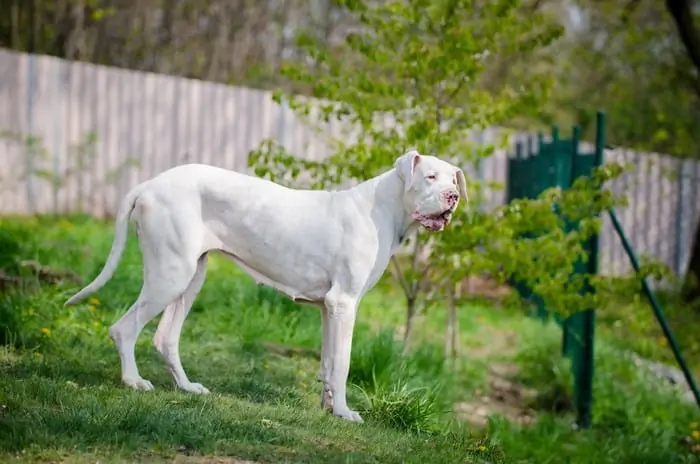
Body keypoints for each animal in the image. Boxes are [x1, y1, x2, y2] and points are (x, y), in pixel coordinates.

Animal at [65, 150, 468, 422]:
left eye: (452, 180)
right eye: (430, 177)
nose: (453, 198)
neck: (385, 208)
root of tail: (150, 183)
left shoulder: (329, 309)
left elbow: (328, 362)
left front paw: (328, 408)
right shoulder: (344, 304)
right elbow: (342, 363)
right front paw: (344, 412)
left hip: (190, 277)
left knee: (165, 337)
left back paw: (186, 387)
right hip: (171, 274)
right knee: (124, 329)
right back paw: (133, 381)